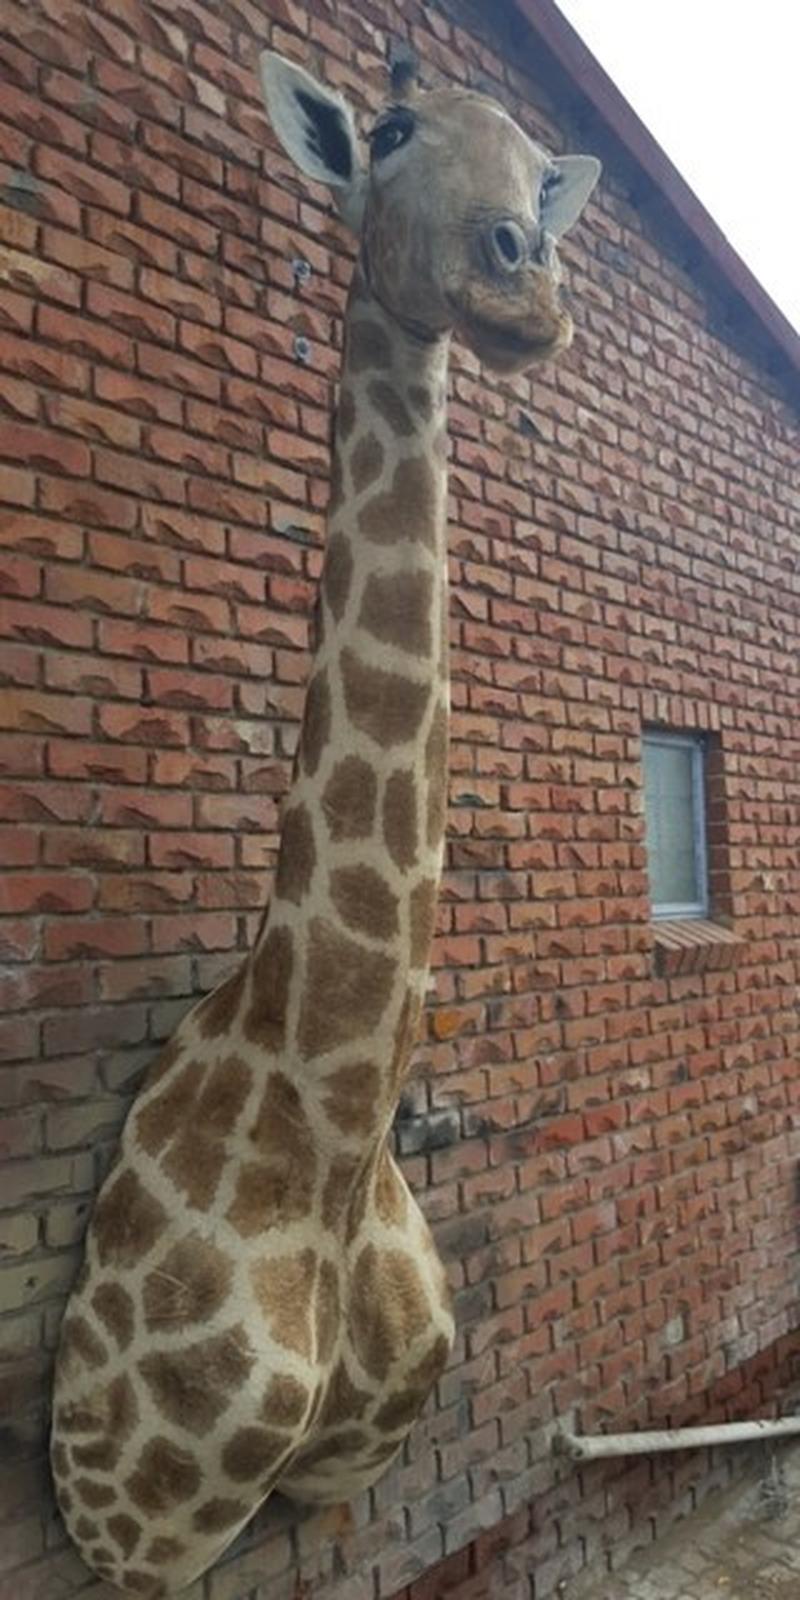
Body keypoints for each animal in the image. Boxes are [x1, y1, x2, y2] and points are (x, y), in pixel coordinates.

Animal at [50, 51, 600, 1598]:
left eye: (536, 164)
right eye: (395, 129)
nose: (523, 282)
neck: (339, 1125)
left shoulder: (341, 1483)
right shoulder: (131, 1528)